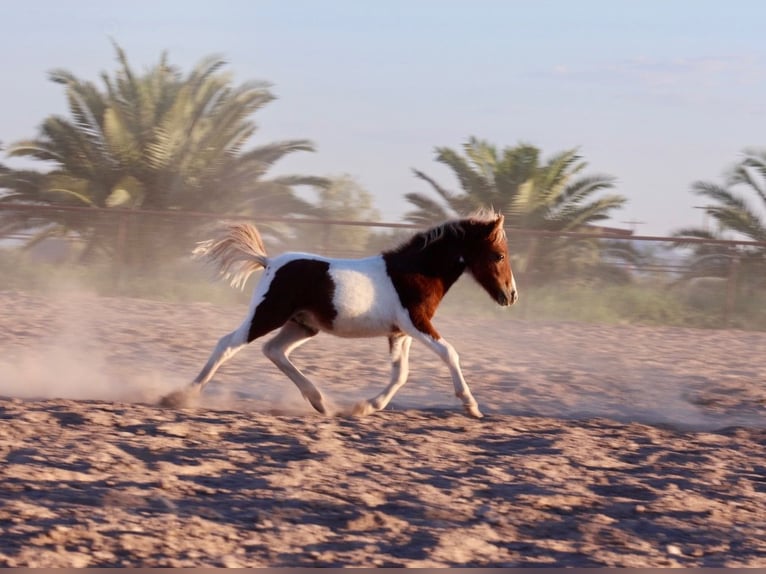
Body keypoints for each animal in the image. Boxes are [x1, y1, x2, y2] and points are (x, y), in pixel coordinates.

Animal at [162, 209, 520, 420]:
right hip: (267, 314)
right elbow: (450, 353)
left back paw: (319, 401)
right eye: (499, 255)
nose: (511, 296)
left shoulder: (399, 332)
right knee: (228, 343)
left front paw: (366, 406)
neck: (412, 273)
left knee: (274, 350)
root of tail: (270, 262)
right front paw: (472, 406)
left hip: (303, 326)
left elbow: (400, 373)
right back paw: (180, 395)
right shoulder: (416, 323)